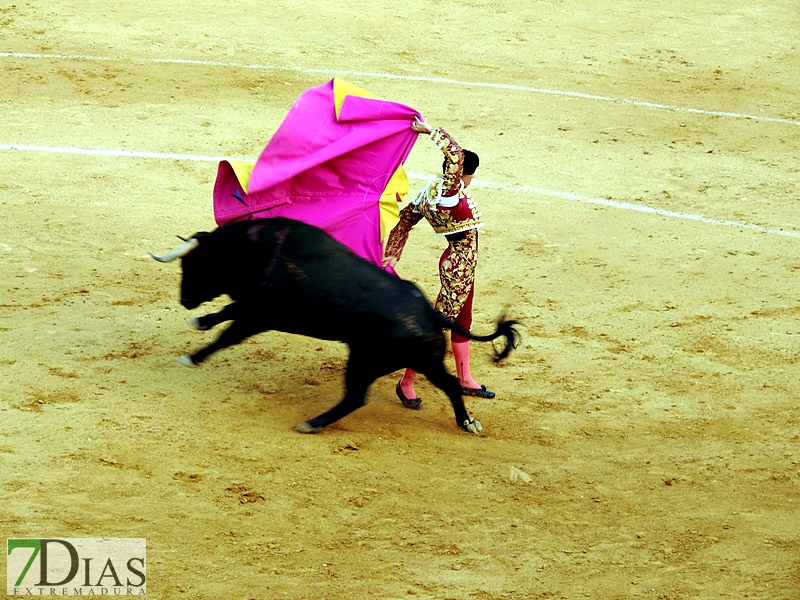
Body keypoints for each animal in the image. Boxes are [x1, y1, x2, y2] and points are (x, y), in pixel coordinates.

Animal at [153, 218, 520, 434]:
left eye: (194, 263)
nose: (185, 300)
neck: (256, 248)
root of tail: (430, 312)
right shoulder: (257, 308)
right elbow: (227, 312)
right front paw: (200, 321)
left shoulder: (261, 314)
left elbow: (227, 333)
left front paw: (193, 356)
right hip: (425, 359)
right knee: (449, 384)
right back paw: (467, 422)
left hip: (363, 359)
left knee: (355, 396)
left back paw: (312, 423)